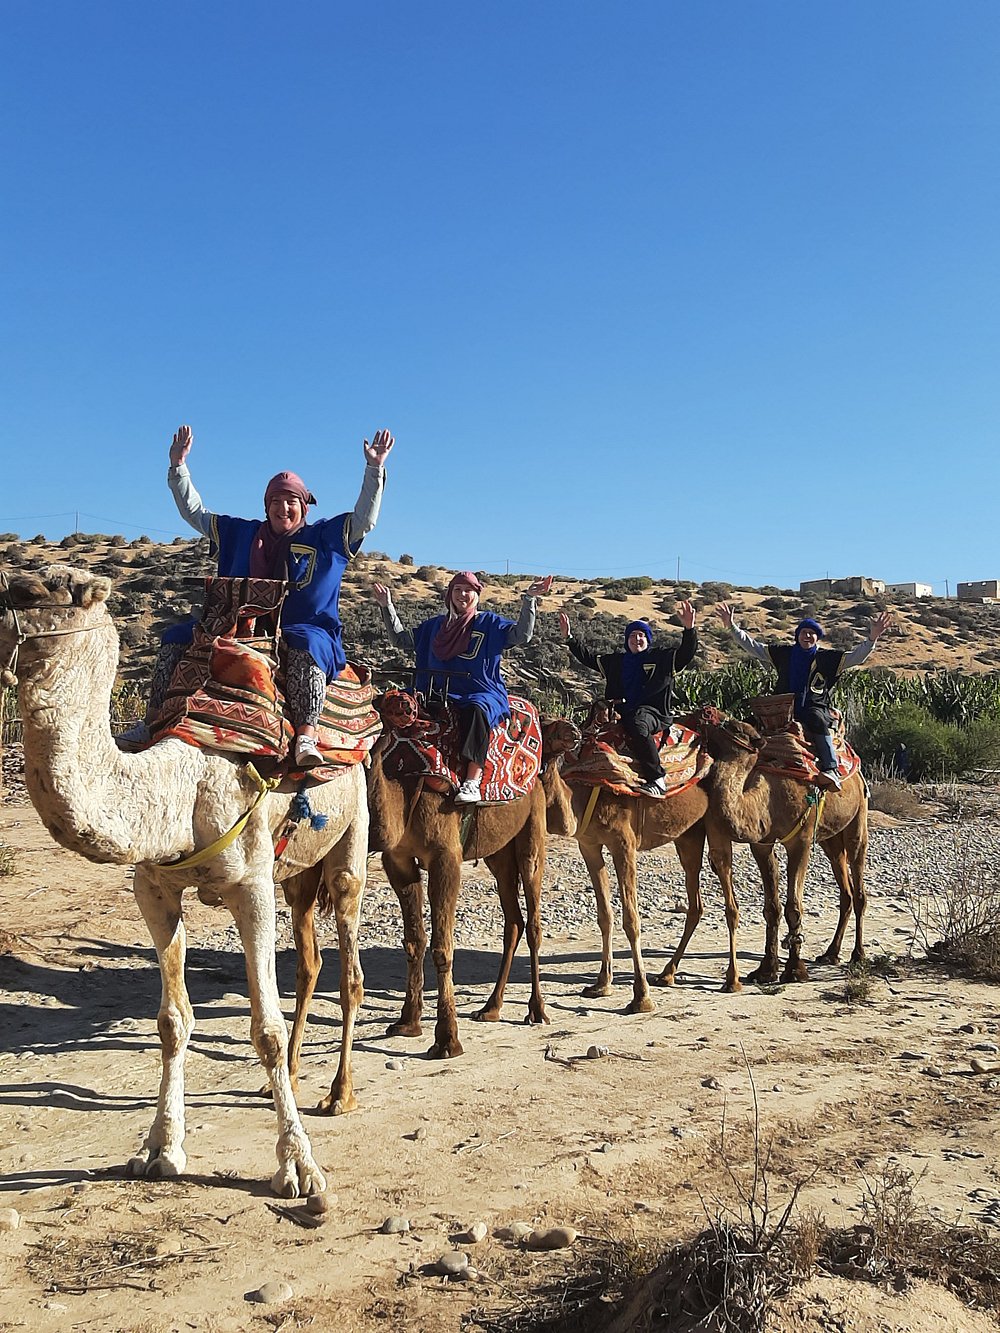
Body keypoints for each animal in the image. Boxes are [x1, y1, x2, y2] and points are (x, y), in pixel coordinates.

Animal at [0, 565, 371, 1196]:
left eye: (31, 593)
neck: (180, 784)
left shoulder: (251, 885)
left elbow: (265, 1029)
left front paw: (298, 1167)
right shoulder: (154, 887)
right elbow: (172, 1021)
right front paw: (159, 1150)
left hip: (352, 838)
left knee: (348, 965)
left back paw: (339, 1093)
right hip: (298, 873)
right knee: (312, 960)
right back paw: (295, 1076)